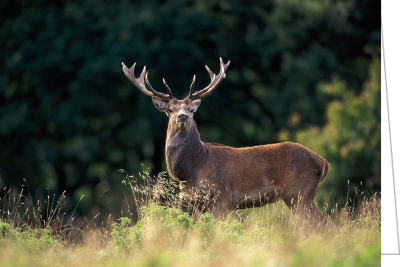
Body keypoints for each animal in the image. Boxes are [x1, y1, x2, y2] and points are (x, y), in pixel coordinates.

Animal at [123, 57, 330, 226]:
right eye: (170, 110)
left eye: (191, 109)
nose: (182, 116)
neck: (190, 171)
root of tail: (323, 163)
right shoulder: (196, 204)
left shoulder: (221, 198)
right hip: (303, 196)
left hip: (298, 193)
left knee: (321, 222)